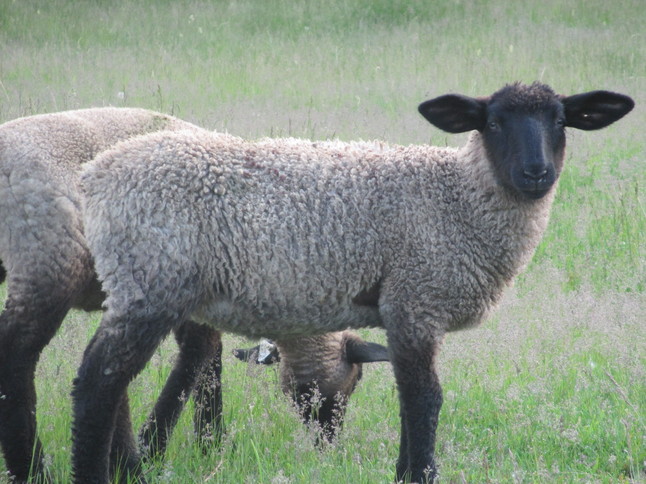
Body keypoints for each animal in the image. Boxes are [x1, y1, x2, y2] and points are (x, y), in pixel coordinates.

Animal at [73, 81, 636, 482]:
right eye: (493, 122)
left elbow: (410, 397)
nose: (536, 173)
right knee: (98, 381)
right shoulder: (417, 298)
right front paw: (420, 475)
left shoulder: (403, 310)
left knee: (111, 379)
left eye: (561, 121)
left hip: (140, 285)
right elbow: (425, 399)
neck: (457, 197)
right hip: (151, 281)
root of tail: (95, 175)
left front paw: (406, 473)